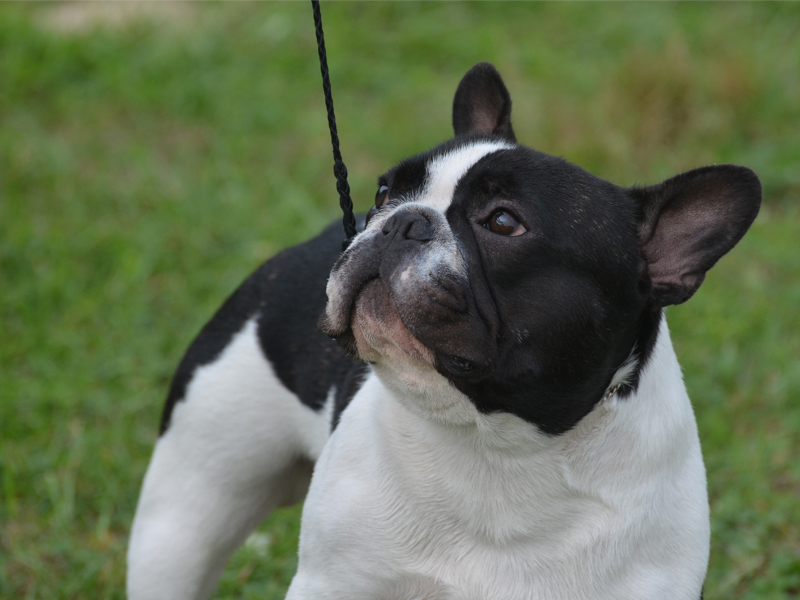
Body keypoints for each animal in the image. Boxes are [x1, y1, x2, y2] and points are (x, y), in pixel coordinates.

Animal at [127, 62, 761, 600]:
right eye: (384, 192)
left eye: (504, 222)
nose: (401, 221)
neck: (498, 444)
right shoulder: (336, 582)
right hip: (187, 512)